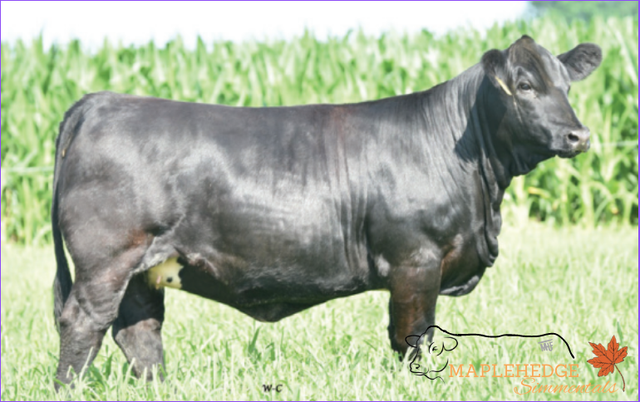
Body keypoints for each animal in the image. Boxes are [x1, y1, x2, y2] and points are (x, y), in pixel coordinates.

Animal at [51, 36, 601, 388]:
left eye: (567, 87)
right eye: (524, 85)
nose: (579, 135)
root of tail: (100, 101)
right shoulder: (415, 260)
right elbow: (412, 337)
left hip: (144, 268)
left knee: (138, 332)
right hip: (107, 259)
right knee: (83, 323)